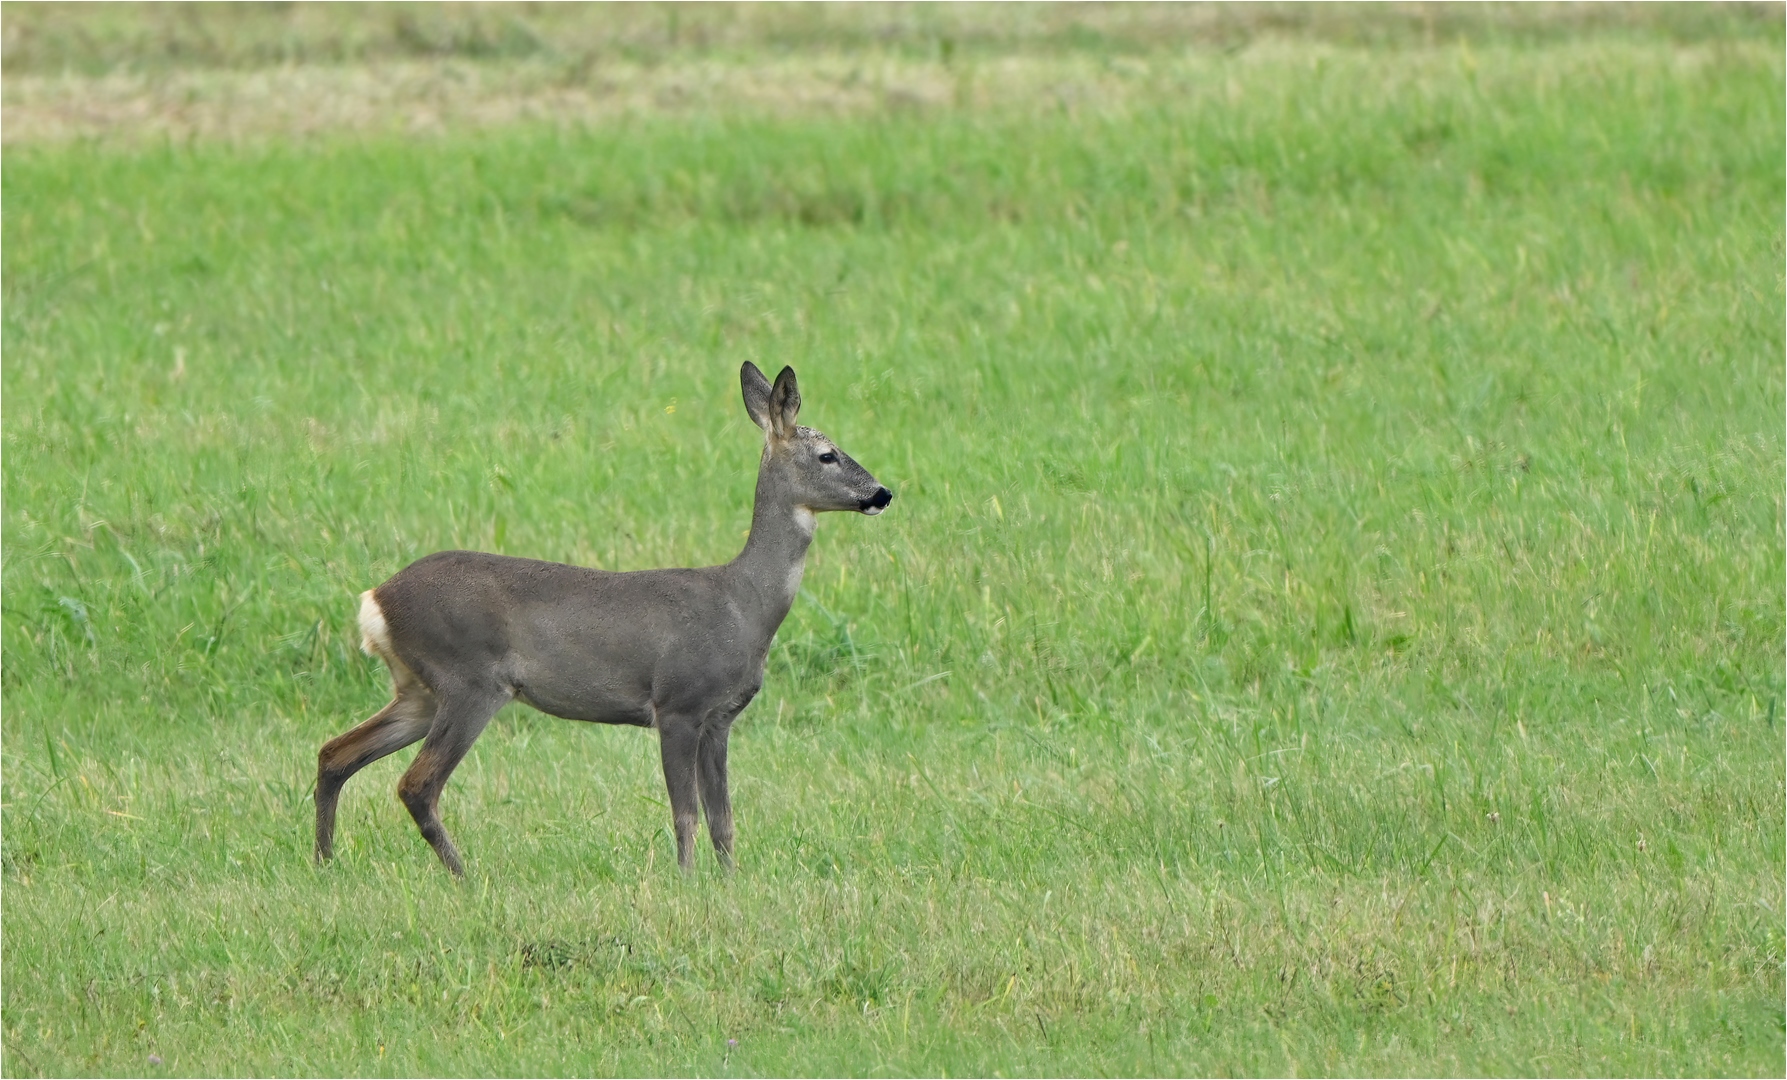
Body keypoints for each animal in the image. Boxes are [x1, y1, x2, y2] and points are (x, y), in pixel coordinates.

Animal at [318, 362, 893, 876]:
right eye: (827, 455)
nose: (883, 493)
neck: (744, 605)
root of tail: (374, 600)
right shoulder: (678, 702)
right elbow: (685, 814)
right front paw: (687, 882)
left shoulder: (719, 718)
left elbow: (723, 820)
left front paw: (730, 882)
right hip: (467, 679)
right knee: (415, 784)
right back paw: (465, 875)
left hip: (419, 690)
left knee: (335, 752)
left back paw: (326, 863)